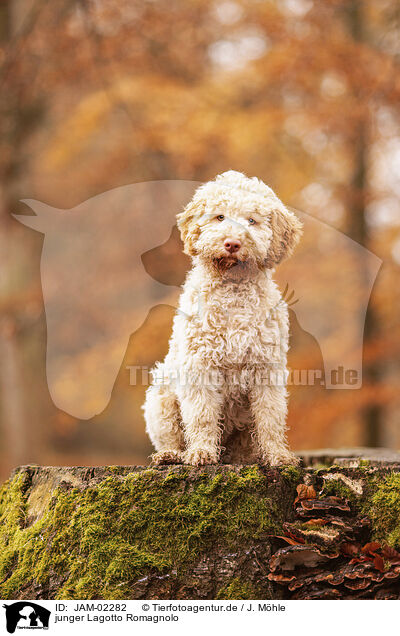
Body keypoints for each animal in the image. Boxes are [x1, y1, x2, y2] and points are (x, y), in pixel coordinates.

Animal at [142, 170, 302, 468]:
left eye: (252, 220)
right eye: (219, 217)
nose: (232, 243)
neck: (233, 288)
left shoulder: (266, 368)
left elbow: (270, 417)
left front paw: (277, 455)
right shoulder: (199, 366)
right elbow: (202, 415)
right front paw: (201, 452)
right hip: (160, 397)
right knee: (171, 435)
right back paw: (170, 455)